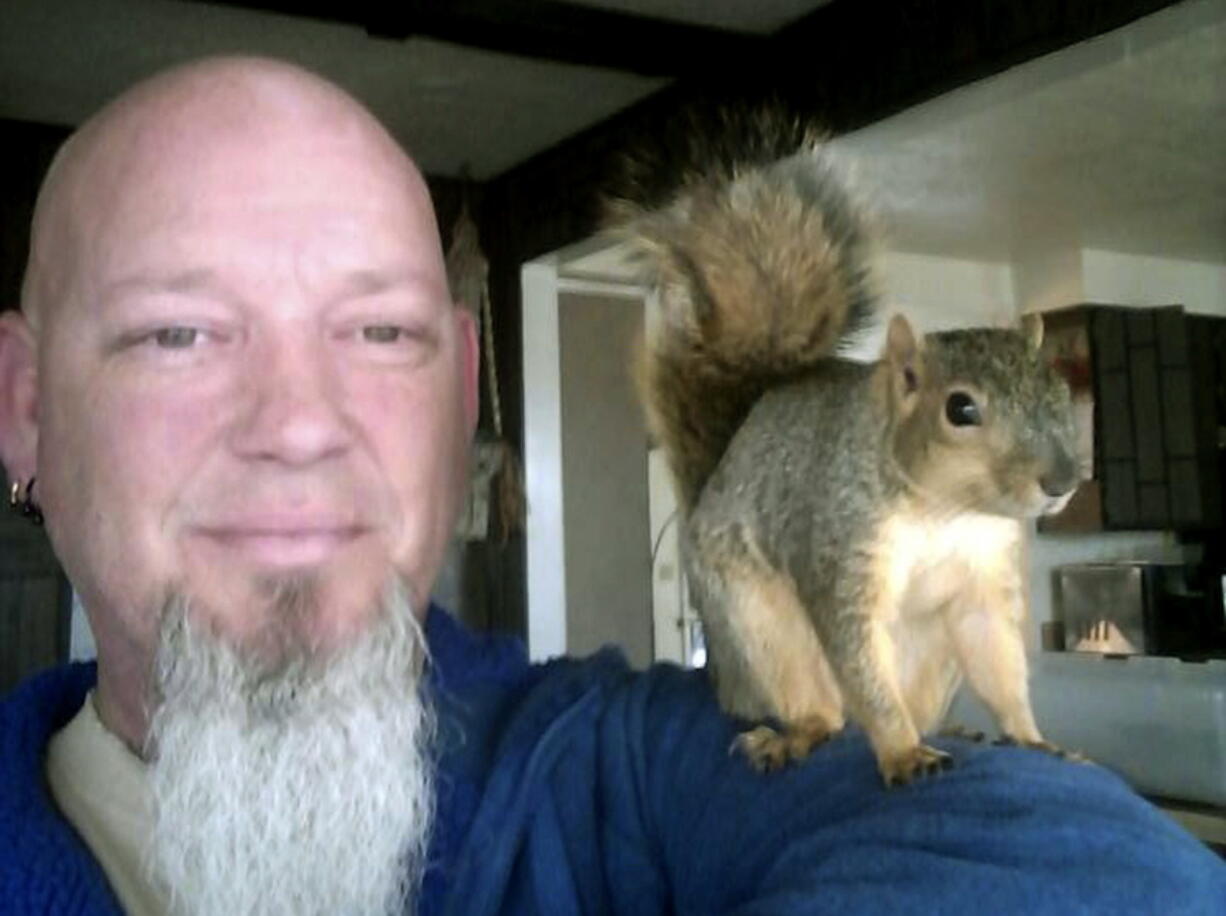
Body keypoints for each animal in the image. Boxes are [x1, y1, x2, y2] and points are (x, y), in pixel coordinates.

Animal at [613, 126, 1083, 789]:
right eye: (960, 409)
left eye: (1062, 387)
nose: (1063, 482)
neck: (948, 509)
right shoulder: (840, 545)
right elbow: (861, 665)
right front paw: (904, 753)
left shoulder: (983, 579)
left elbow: (998, 660)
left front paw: (1033, 739)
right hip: (761, 629)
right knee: (826, 712)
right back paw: (796, 735)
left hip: (932, 657)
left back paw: (950, 728)